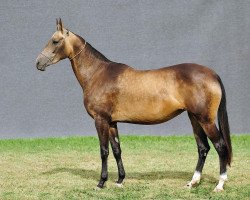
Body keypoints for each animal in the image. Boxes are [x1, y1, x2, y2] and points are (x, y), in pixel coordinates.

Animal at [35, 18, 232, 192]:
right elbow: (117, 150)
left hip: (205, 120)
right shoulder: (112, 122)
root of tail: (212, 74)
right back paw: (193, 182)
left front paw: (101, 182)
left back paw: (219, 185)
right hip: (194, 118)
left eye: (55, 40)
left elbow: (104, 151)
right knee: (203, 148)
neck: (98, 74)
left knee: (220, 146)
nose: (38, 62)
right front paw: (120, 180)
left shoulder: (100, 120)